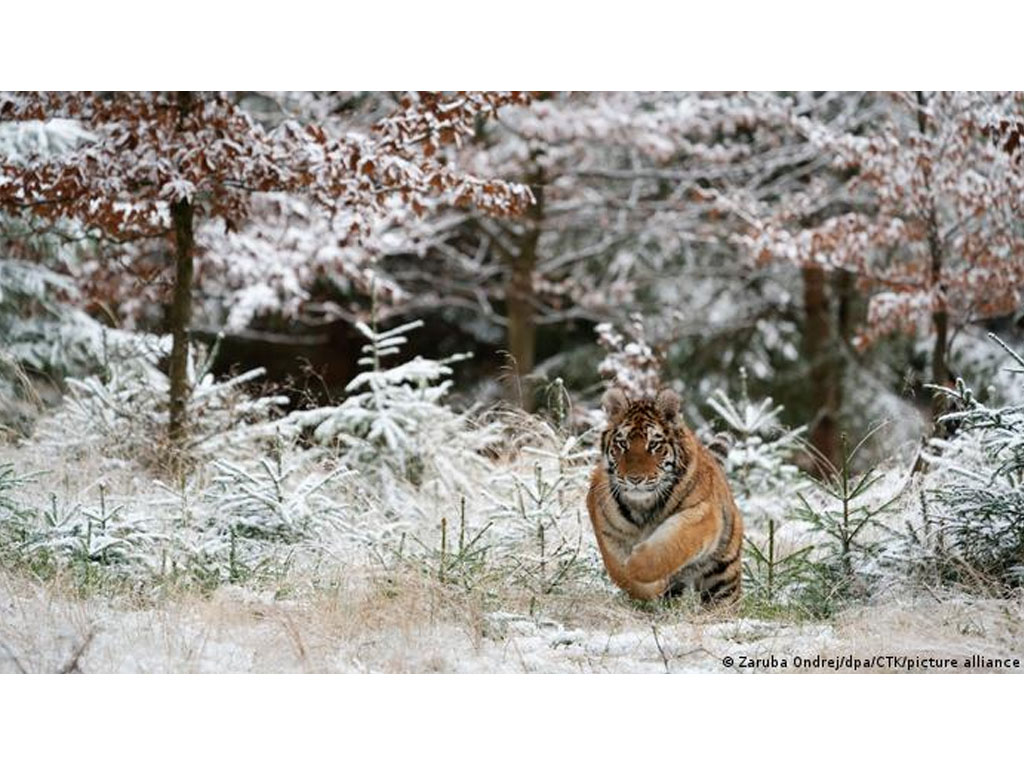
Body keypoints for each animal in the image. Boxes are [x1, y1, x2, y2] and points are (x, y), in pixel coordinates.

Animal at [585, 387, 745, 606]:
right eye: (623, 444)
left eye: (653, 444)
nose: (635, 479)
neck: (642, 506)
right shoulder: (606, 526)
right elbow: (618, 569)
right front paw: (648, 587)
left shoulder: (702, 514)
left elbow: (667, 548)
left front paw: (637, 566)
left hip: (723, 575)